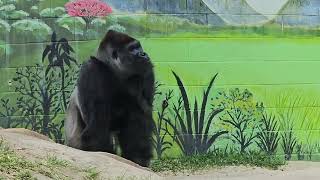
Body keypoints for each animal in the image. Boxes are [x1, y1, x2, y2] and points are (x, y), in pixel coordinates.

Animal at [64, 29, 154, 167]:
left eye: (139, 47)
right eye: (132, 49)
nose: (144, 54)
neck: (111, 69)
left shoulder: (146, 71)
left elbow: (142, 116)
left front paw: (139, 158)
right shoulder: (91, 69)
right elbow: (95, 129)